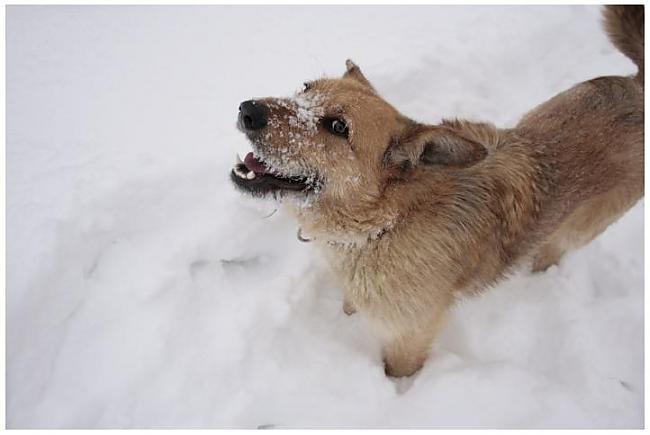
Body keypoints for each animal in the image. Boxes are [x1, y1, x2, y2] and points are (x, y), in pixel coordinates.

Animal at [230, 4, 640, 378]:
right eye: (305, 88)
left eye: (337, 127)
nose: (247, 110)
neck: (387, 222)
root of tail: (637, 84)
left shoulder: (409, 336)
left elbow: (398, 371)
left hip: (576, 231)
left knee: (552, 249)